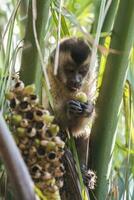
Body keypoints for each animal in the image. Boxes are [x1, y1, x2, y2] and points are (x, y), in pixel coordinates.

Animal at [45, 37, 96, 167]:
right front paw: (69, 110)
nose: (77, 81)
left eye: (82, 72)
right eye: (70, 71)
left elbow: (77, 130)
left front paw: (88, 109)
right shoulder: (49, 77)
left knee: (84, 135)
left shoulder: (89, 81)